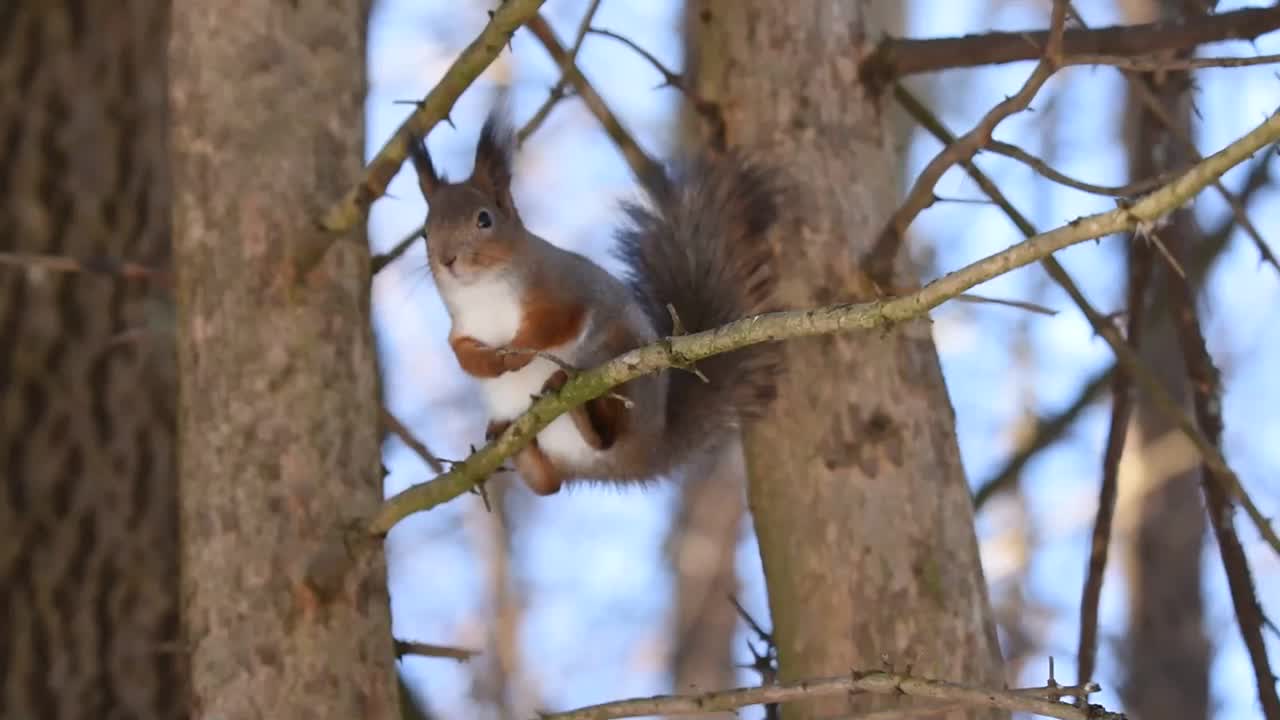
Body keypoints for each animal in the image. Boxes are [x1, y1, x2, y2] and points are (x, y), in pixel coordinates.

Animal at [409, 101, 778, 491]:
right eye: (425, 232)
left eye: (484, 220)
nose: (447, 260)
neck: (483, 291)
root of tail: (646, 453)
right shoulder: (462, 326)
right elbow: (463, 354)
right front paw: (491, 364)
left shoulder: (562, 288)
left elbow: (553, 324)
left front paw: (516, 354)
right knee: (548, 484)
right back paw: (512, 439)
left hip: (620, 367)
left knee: (605, 437)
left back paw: (576, 405)